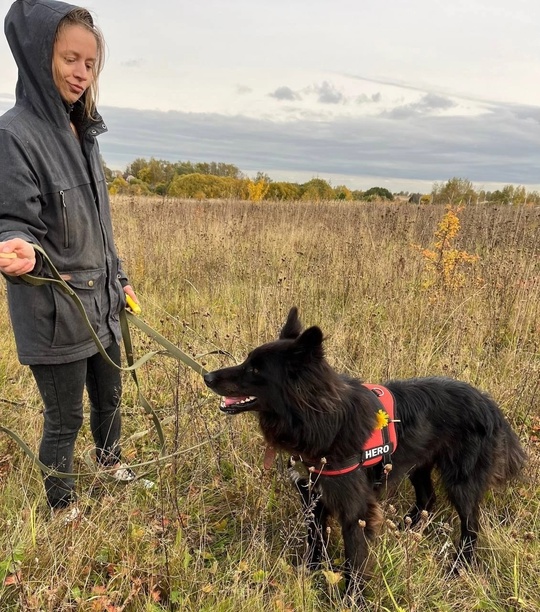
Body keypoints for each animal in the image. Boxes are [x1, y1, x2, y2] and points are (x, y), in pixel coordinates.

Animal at [202, 308, 524, 584]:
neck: (322, 419)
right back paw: (407, 529)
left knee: (470, 526)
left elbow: (355, 561)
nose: (206, 376)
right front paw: (311, 574)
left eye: (256, 370)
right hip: (418, 465)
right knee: (428, 499)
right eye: (247, 362)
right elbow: (315, 541)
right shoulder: (313, 499)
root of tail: (490, 405)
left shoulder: (355, 511)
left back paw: (459, 566)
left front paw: (351, 598)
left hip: (461, 482)